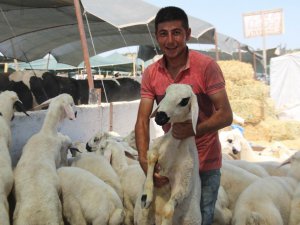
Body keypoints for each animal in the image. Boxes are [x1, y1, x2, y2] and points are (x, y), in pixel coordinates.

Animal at [136, 83, 202, 225]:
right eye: (165, 93)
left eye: (184, 101)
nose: (160, 117)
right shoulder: (155, 148)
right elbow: (151, 157)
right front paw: (146, 196)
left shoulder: (183, 184)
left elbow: (168, 210)